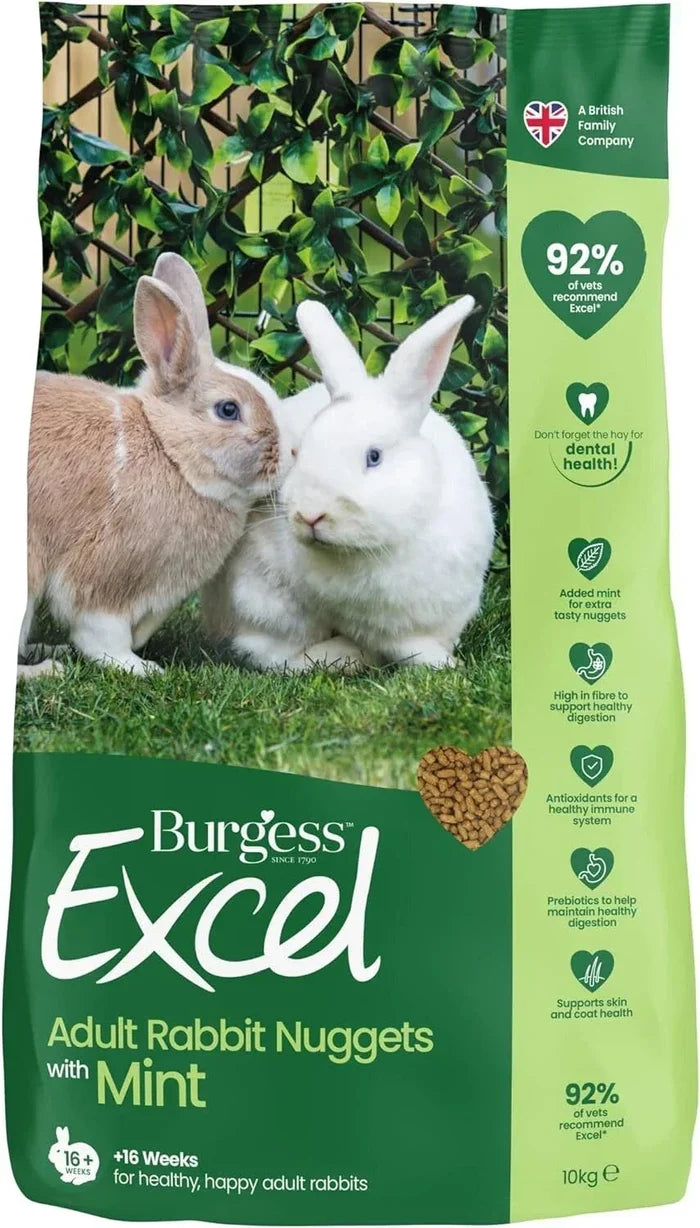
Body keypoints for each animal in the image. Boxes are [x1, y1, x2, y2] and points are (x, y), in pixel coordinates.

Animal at [19, 253, 281, 677]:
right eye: (228, 410)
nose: (288, 454)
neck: (169, 452)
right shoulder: (106, 573)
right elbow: (100, 633)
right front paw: (140, 668)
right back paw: (43, 670)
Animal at [202, 295, 494, 671]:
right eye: (299, 451)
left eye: (374, 456)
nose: (310, 515)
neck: (370, 551)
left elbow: (415, 644)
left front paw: (443, 663)